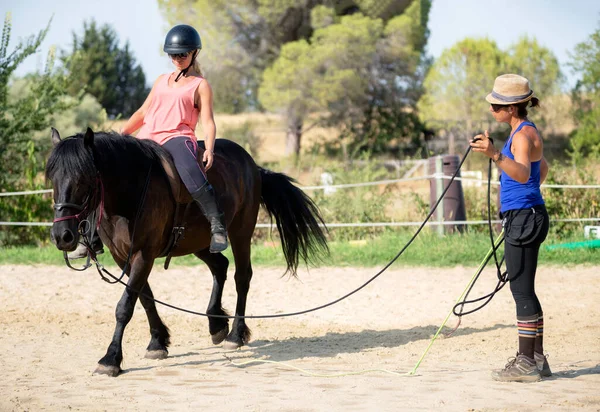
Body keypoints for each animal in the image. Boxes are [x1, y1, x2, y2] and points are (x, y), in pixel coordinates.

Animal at [46, 128, 328, 376]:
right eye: (53, 179)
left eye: (84, 178)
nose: (62, 236)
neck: (132, 192)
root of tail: (252, 165)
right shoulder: (122, 256)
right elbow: (145, 299)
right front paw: (157, 343)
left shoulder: (144, 254)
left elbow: (125, 306)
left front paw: (111, 359)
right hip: (199, 243)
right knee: (220, 266)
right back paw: (216, 324)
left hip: (241, 233)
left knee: (242, 277)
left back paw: (235, 334)